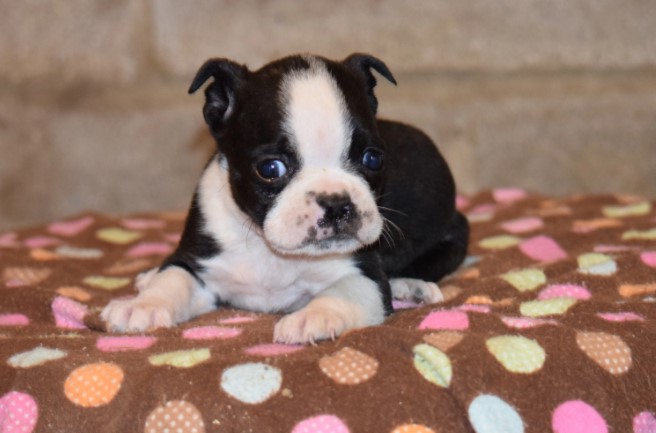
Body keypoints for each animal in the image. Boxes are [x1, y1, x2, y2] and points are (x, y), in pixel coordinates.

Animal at [102, 53, 468, 344]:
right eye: (271, 168)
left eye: (373, 159)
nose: (336, 203)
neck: (269, 247)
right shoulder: (198, 258)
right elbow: (173, 278)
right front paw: (142, 306)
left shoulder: (364, 276)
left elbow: (342, 292)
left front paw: (313, 316)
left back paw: (413, 287)